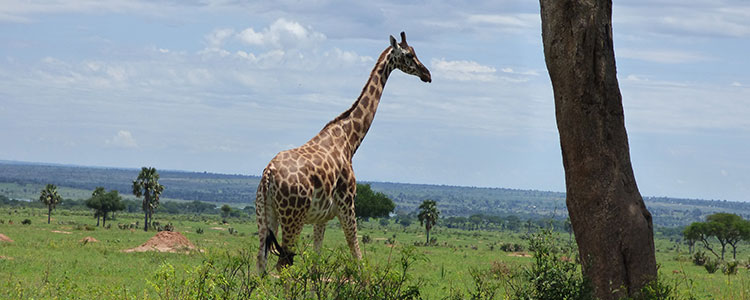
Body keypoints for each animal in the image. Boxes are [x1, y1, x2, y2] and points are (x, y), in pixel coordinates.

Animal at [256, 31, 432, 274]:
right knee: (282, 263)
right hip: (293, 217)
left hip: (265, 215)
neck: (349, 140)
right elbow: (356, 252)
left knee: (260, 263)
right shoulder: (348, 204)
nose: (427, 74)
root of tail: (268, 174)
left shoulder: (321, 217)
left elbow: (316, 259)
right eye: (408, 55)